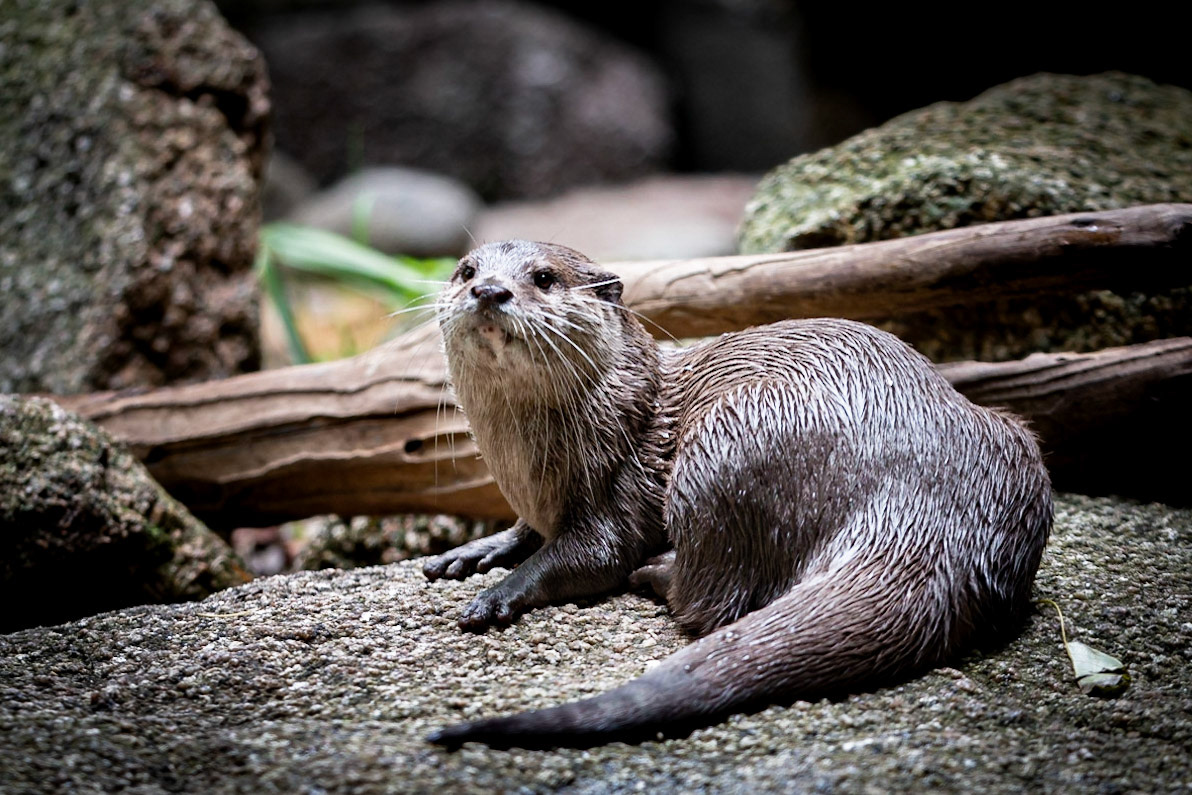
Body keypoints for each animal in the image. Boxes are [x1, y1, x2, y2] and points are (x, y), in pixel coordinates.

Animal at [422, 240, 1052, 750]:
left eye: (545, 277)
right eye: (465, 269)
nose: (489, 289)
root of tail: (926, 501)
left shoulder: (621, 488)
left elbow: (590, 554)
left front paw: (500, 593)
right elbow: (527, 532)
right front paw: (473, 552)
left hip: (724, 443)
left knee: (710, 597)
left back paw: (657, 573)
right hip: (1014, 449)